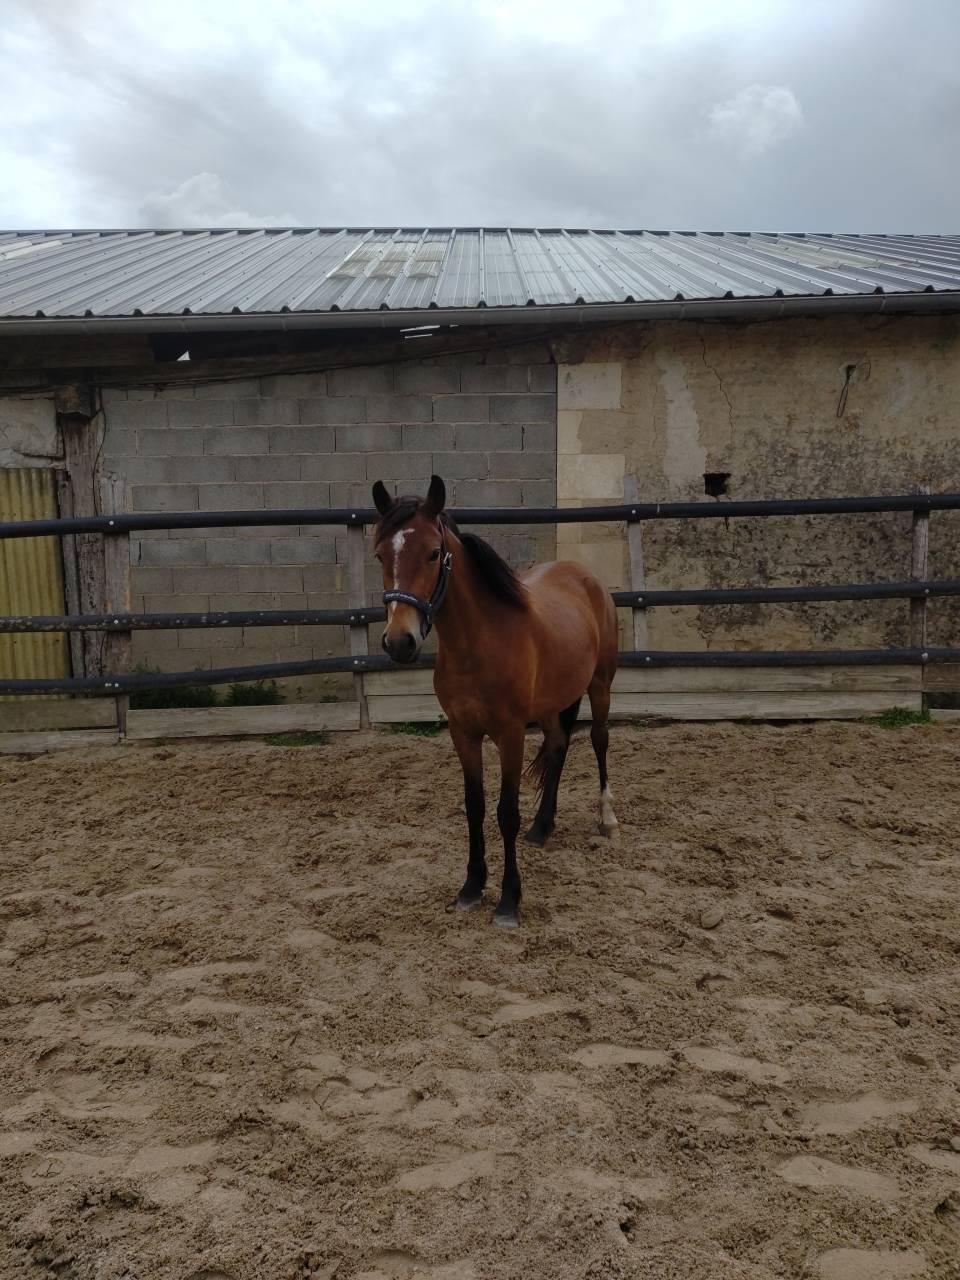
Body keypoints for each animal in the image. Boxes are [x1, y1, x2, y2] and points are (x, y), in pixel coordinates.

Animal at [372, 474, 619, 929]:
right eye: (381, 554)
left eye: (433, 553)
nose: (399, 641)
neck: (479, 642)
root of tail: (582, 574)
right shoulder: (463, 734)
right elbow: (475, 806)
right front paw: (471, 887)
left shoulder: (510, 735)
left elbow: (505, 811)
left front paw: (508, 900)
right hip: (552, 704)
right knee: (558, 747)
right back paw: (542, 827)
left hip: (600, 686)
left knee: (598, 741)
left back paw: (607, 818)